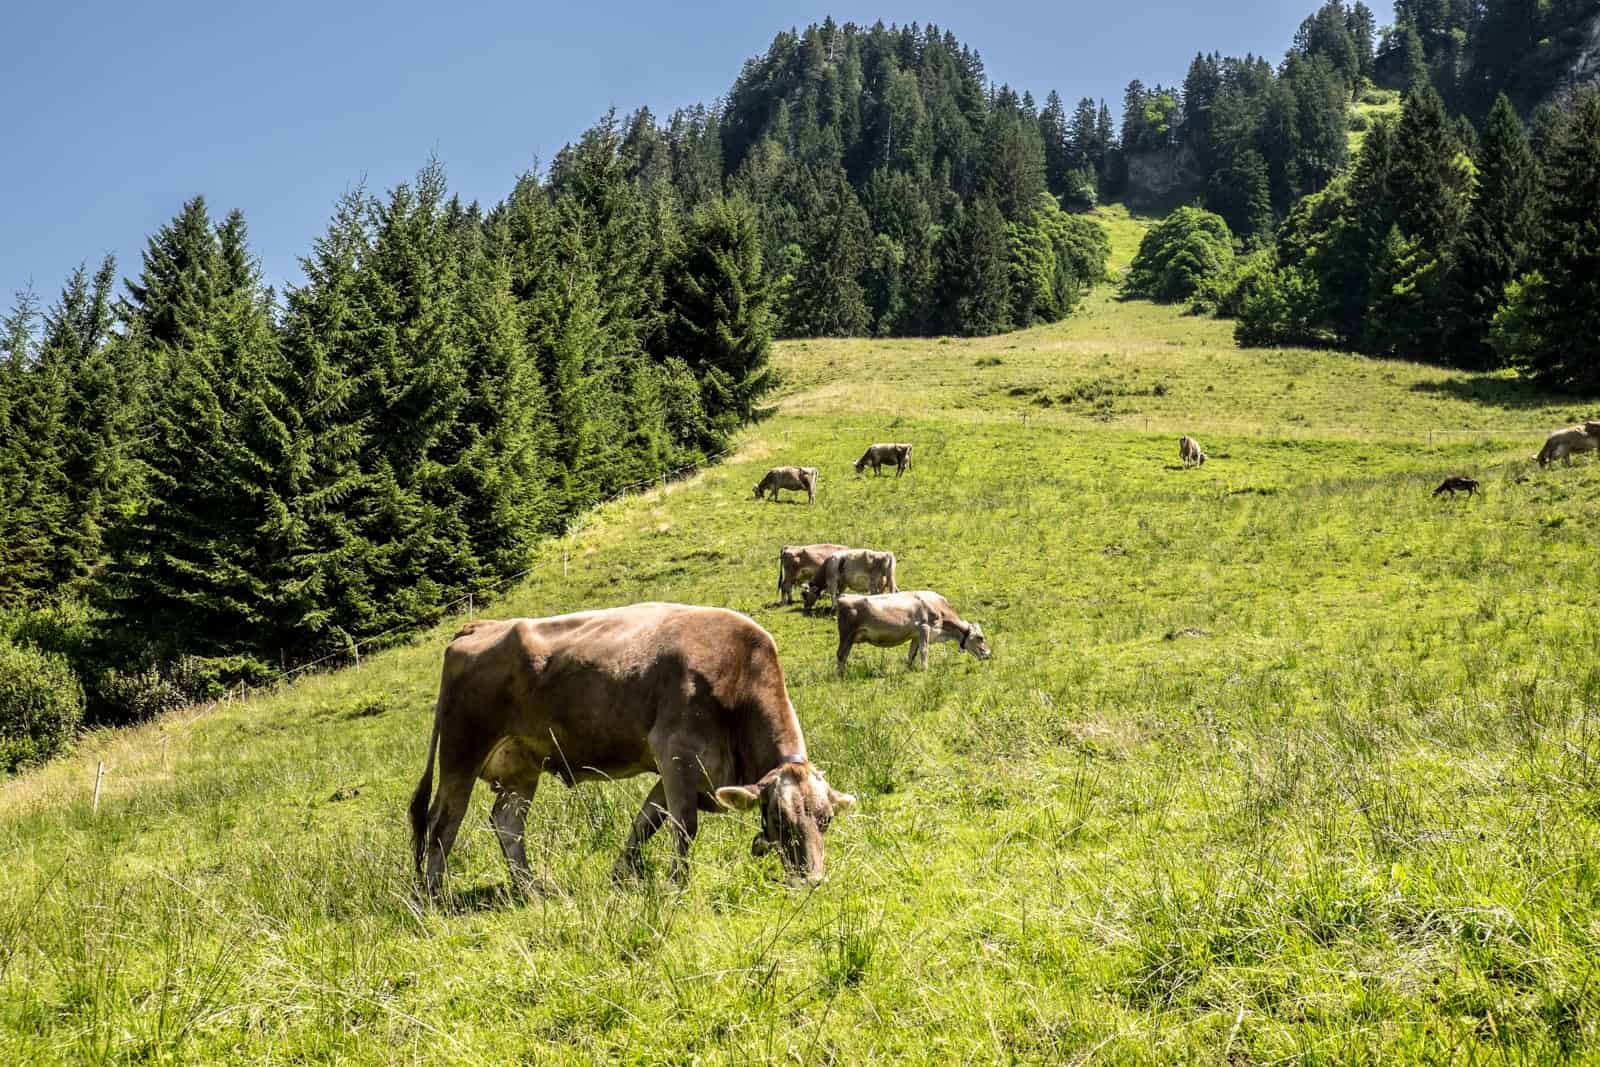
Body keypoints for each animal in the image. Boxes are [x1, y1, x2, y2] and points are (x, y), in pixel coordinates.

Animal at [412, 601, 857, 895]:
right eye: (779, 819)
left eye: (826, 820)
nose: (813, 879)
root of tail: (477, 626)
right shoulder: (675, 752)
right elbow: (684, 825)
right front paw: (678, 886)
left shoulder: (677, 771)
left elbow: (646, 822)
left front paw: (619, 875)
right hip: (462, 750)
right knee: (442, 824)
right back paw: (434, 895)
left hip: (521, 764)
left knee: (506, 823)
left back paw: (532, 889)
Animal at [838, 591, 985, 675]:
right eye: (980, 637)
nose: (987, 653)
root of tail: (843, 596)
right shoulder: (924, 627)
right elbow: (924, 650)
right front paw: (924, 669)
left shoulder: (915, 635)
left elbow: (912, 653)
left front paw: (908, 670)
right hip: (846, 634)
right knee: (840, 654)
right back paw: (840, 676)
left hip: (850, 638)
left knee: (844, 656)